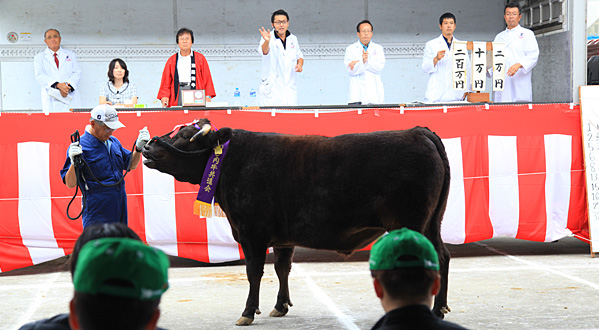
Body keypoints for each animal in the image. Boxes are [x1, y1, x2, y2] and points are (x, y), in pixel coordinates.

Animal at [142, 118, 450, 324]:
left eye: (184, 135)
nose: (147, 146)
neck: (234, 161)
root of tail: (418, 132)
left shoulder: (252, 233)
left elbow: (254, 272)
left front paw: (247, 312)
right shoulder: (282, 237)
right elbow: (282, 268)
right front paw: (280, 306)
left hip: (411, 222)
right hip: (432, 223)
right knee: (442, 256)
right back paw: (439, 308)